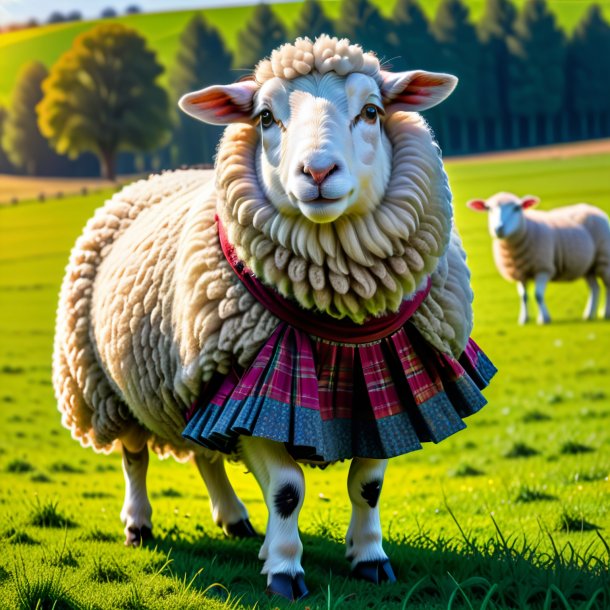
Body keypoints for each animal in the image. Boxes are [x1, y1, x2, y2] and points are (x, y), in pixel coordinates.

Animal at [53, 36, 494, 600]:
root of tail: (155, 177)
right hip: (107, 385)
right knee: (134, 456)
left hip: (190, 377)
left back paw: (235, 520)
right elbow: (287, 490)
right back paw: (139, 524)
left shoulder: (392, 390)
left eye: (372, 111)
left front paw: (369, 559)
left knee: (204, 452)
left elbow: (368, 486)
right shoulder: (253, 387)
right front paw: (284, 569)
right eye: (265, 116)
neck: (341, 318)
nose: (318, 173)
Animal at [466, 190, 608, 324]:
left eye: (516, 208)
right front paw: (524, 319)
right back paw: (589, 315)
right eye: (489, 208)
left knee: (607, 285)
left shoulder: (543, 269)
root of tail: (591, 208)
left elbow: (538, 295)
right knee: (594, 288)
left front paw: (544, 319)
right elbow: (523, 296)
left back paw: (605, 313)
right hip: (588, 267)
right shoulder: (520, 273)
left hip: (604, 259)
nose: (499, 229)